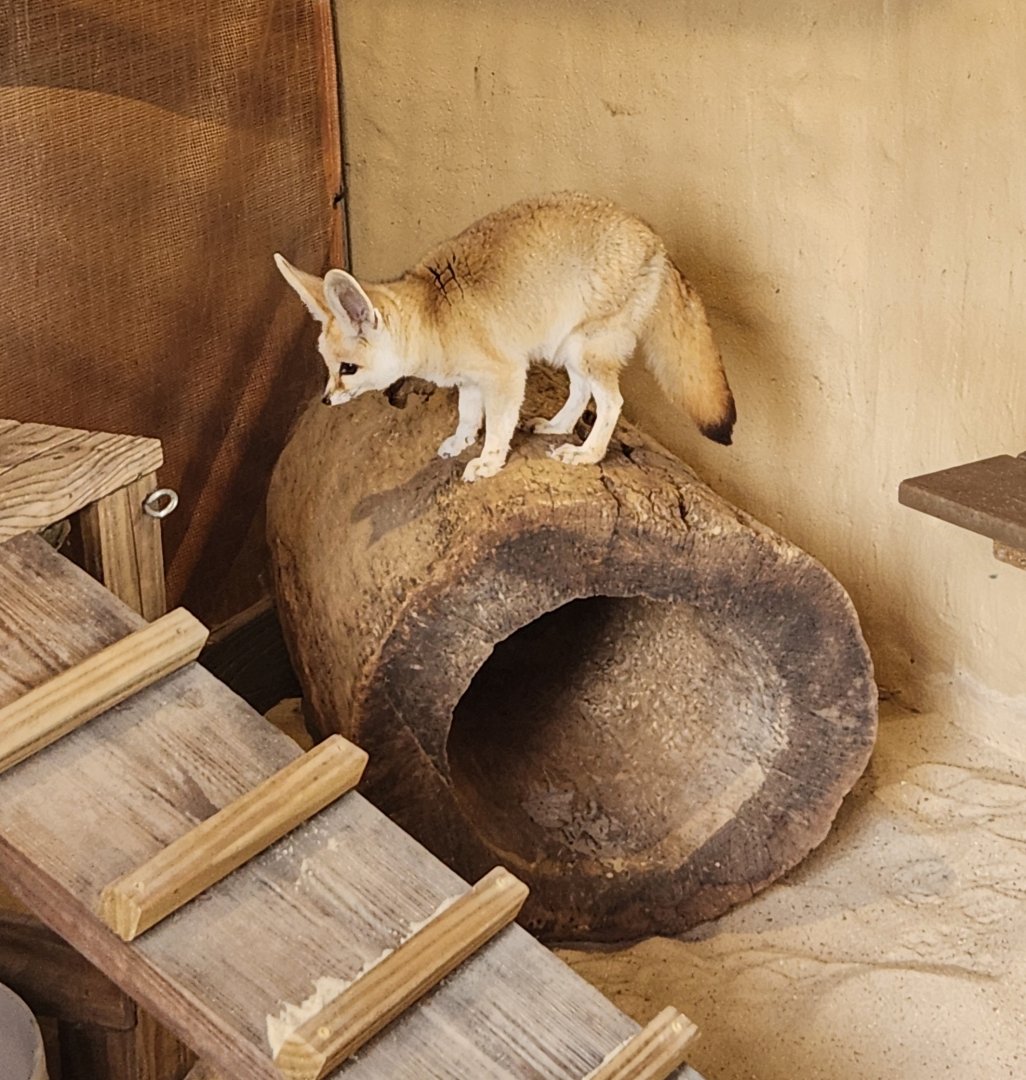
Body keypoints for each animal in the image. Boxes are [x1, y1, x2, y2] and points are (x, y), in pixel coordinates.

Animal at [274, 191, 735, 482]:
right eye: (329, 368)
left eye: (348, 369)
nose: (325, 399)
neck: (434, 313)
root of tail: (655, 238)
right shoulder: (471, 380)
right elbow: (467, 415)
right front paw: (461, 442)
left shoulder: (506, 375)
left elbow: (497, 427)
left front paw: (488, 463)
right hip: (568, 349)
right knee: (582, 392)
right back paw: (558, 426)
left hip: (586, 350)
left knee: (611, 403)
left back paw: (587, 454)